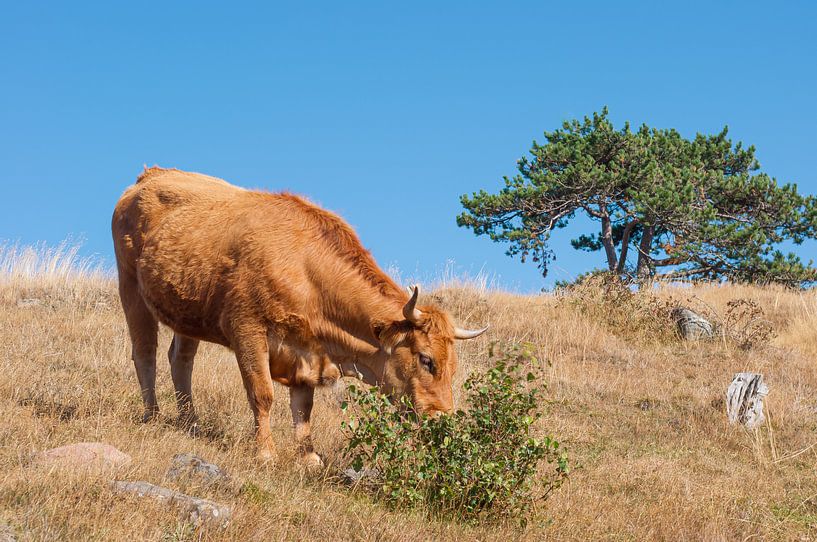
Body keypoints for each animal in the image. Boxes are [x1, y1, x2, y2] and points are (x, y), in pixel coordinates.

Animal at [111, 167, 488, 466]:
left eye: (454, 366)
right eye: (426, 359)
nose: (442, 418)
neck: (306, 269)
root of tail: (151, 175)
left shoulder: (306, 352)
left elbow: (304, 409)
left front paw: (308, 457)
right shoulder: (247, 330)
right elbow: (262, 393)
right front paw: (266, 453)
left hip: (186, 312)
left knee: (181, 360)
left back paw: (191, 422)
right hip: (131, 289)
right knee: (145, 353)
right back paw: (152, 415)